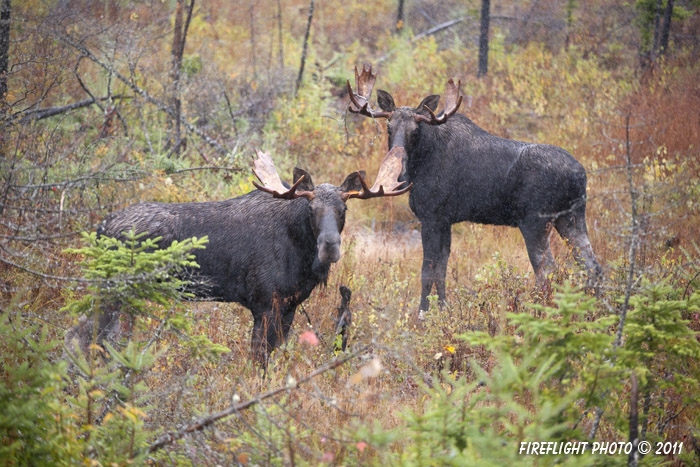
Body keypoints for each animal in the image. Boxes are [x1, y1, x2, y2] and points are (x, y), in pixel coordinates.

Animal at [80, 150, 410, 362]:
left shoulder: (288, 307)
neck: (301, 256)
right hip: (114, 290)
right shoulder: (264, 305)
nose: (330, 246)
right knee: (89, 336)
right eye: (311, 209)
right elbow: (258, 359)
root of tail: (100, 227)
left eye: (344, 209)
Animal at [348, 65, 604, 314]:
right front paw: (444, 311)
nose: (399, 171)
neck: (420, 165)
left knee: (548, 273)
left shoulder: (431, 217)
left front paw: (422, 315)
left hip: (536, 222)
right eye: (389, 128)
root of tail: (580, 175)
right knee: (593, 267)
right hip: (570, 218)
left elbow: (427, 271)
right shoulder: (446, 220)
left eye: (415, 131)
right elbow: (442, 269)